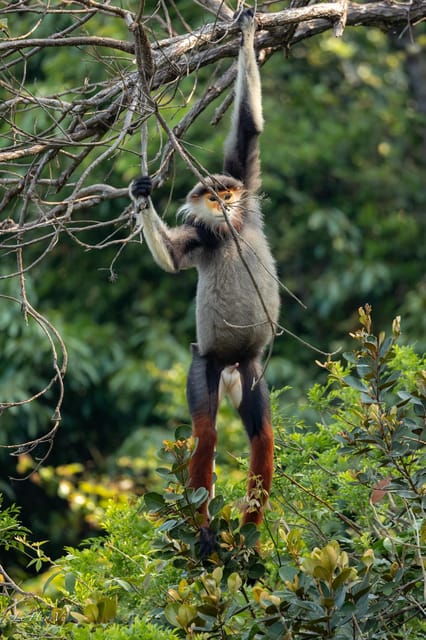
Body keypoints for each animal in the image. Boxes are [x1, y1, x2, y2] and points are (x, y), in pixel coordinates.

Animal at [130, 9, 280, 546]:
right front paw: (140, 194)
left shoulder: (248, 196)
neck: (228, 229)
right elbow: (175, 259)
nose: (225, 205)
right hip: (206, 362)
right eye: (211, 198)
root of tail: (231, 363)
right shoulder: (200, 235)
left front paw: (248, 29)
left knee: (261, 435)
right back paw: (205, 533)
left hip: (252, 367)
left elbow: (249, 129)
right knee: (206, 434)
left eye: (228, 194)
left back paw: (250, 532)